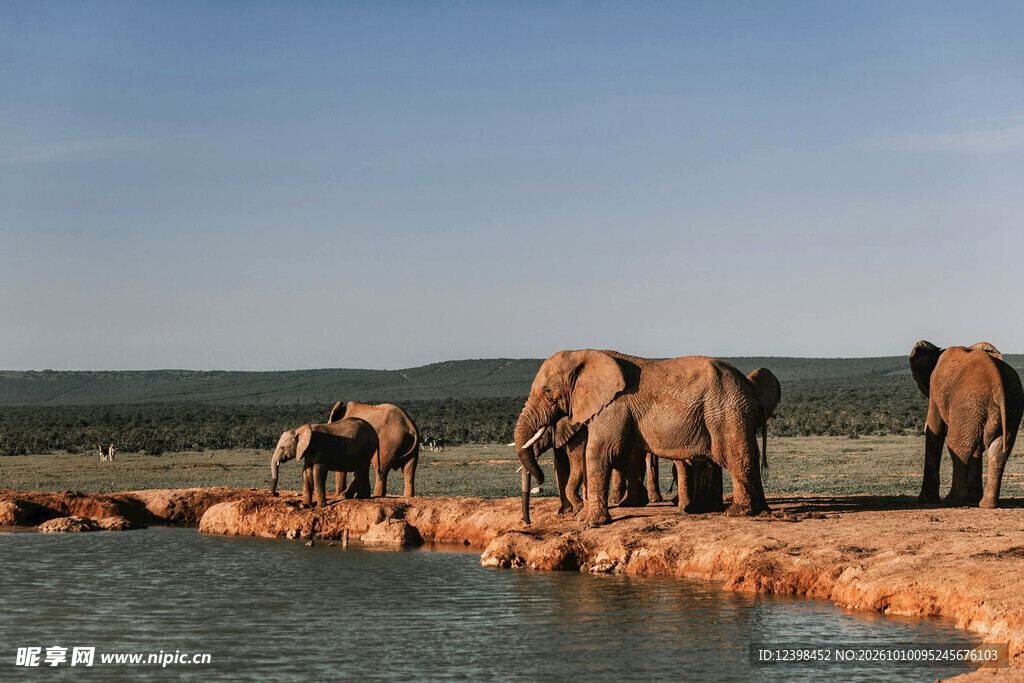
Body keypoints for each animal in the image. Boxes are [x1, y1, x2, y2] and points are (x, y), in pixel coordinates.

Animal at [513, 349, 769, 525]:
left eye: (548, 392)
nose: (527, 522)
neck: (584, 353)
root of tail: (748, 385)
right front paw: (583, 517)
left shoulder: (613, 405)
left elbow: (600, 451)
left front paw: (590, 522)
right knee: (746, 455)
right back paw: (760, 511)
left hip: (726, 410)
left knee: (733, 455)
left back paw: (737, 512)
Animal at [909, 341, 1023, 508]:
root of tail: (997, 383)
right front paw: (973, 499)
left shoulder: (935, 391)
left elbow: (935, 432)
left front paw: (925, 500)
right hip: (1007, 406)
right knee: (999, 451)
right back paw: (986, 504)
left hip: (969, 405)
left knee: (958, 447)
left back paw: (953, 501)